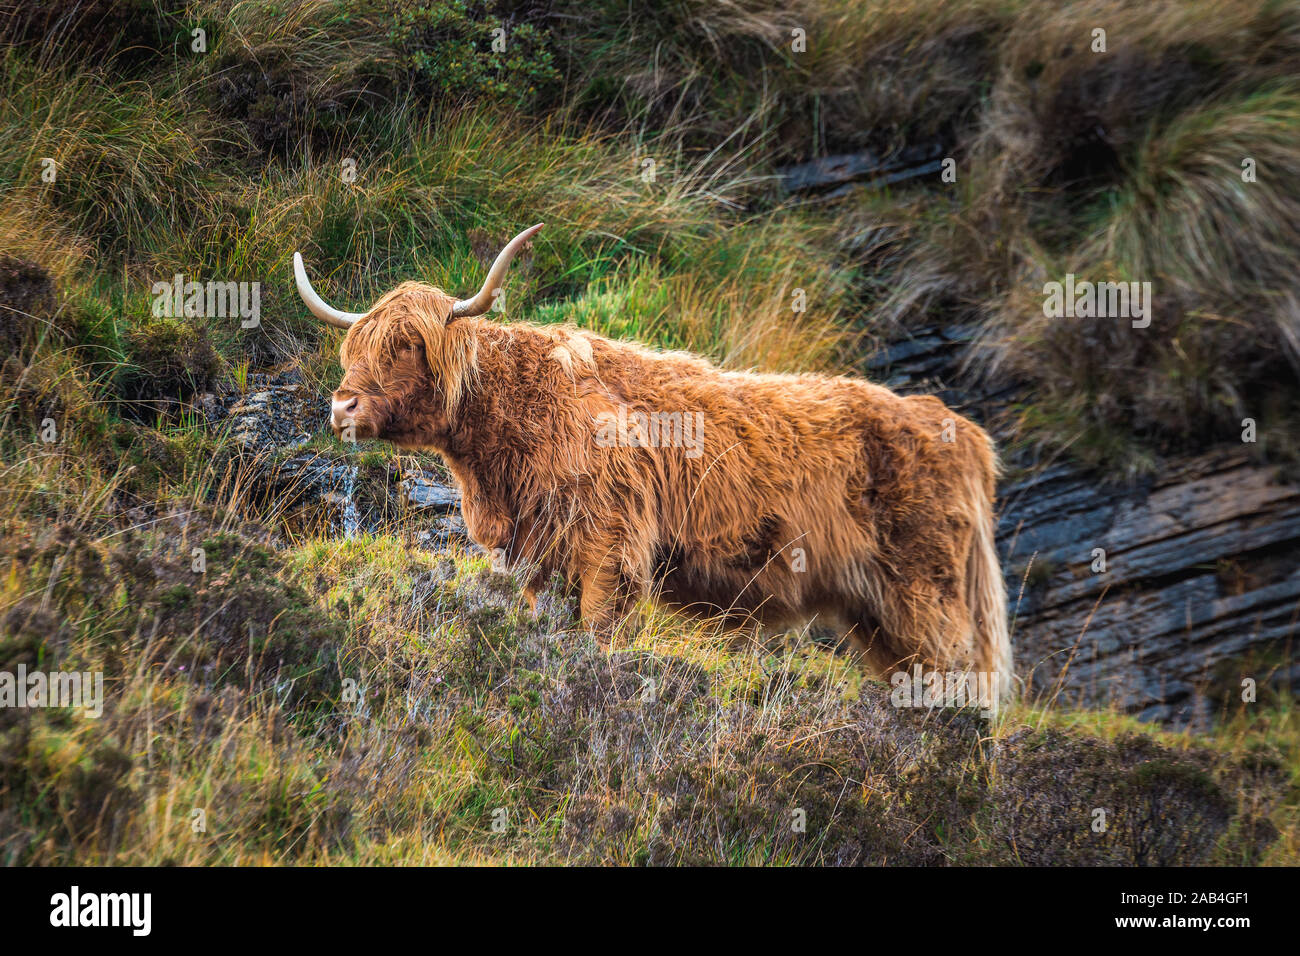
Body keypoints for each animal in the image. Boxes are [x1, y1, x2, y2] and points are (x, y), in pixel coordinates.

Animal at [294, 225, 1013, 707]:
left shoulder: (609, 547)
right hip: (880, 613)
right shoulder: (532, 553)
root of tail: (960, 429)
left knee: (959, 685)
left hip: (929, 595)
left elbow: (596, 635)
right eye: (353, 347)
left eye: (408, 345)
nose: (342, 404)